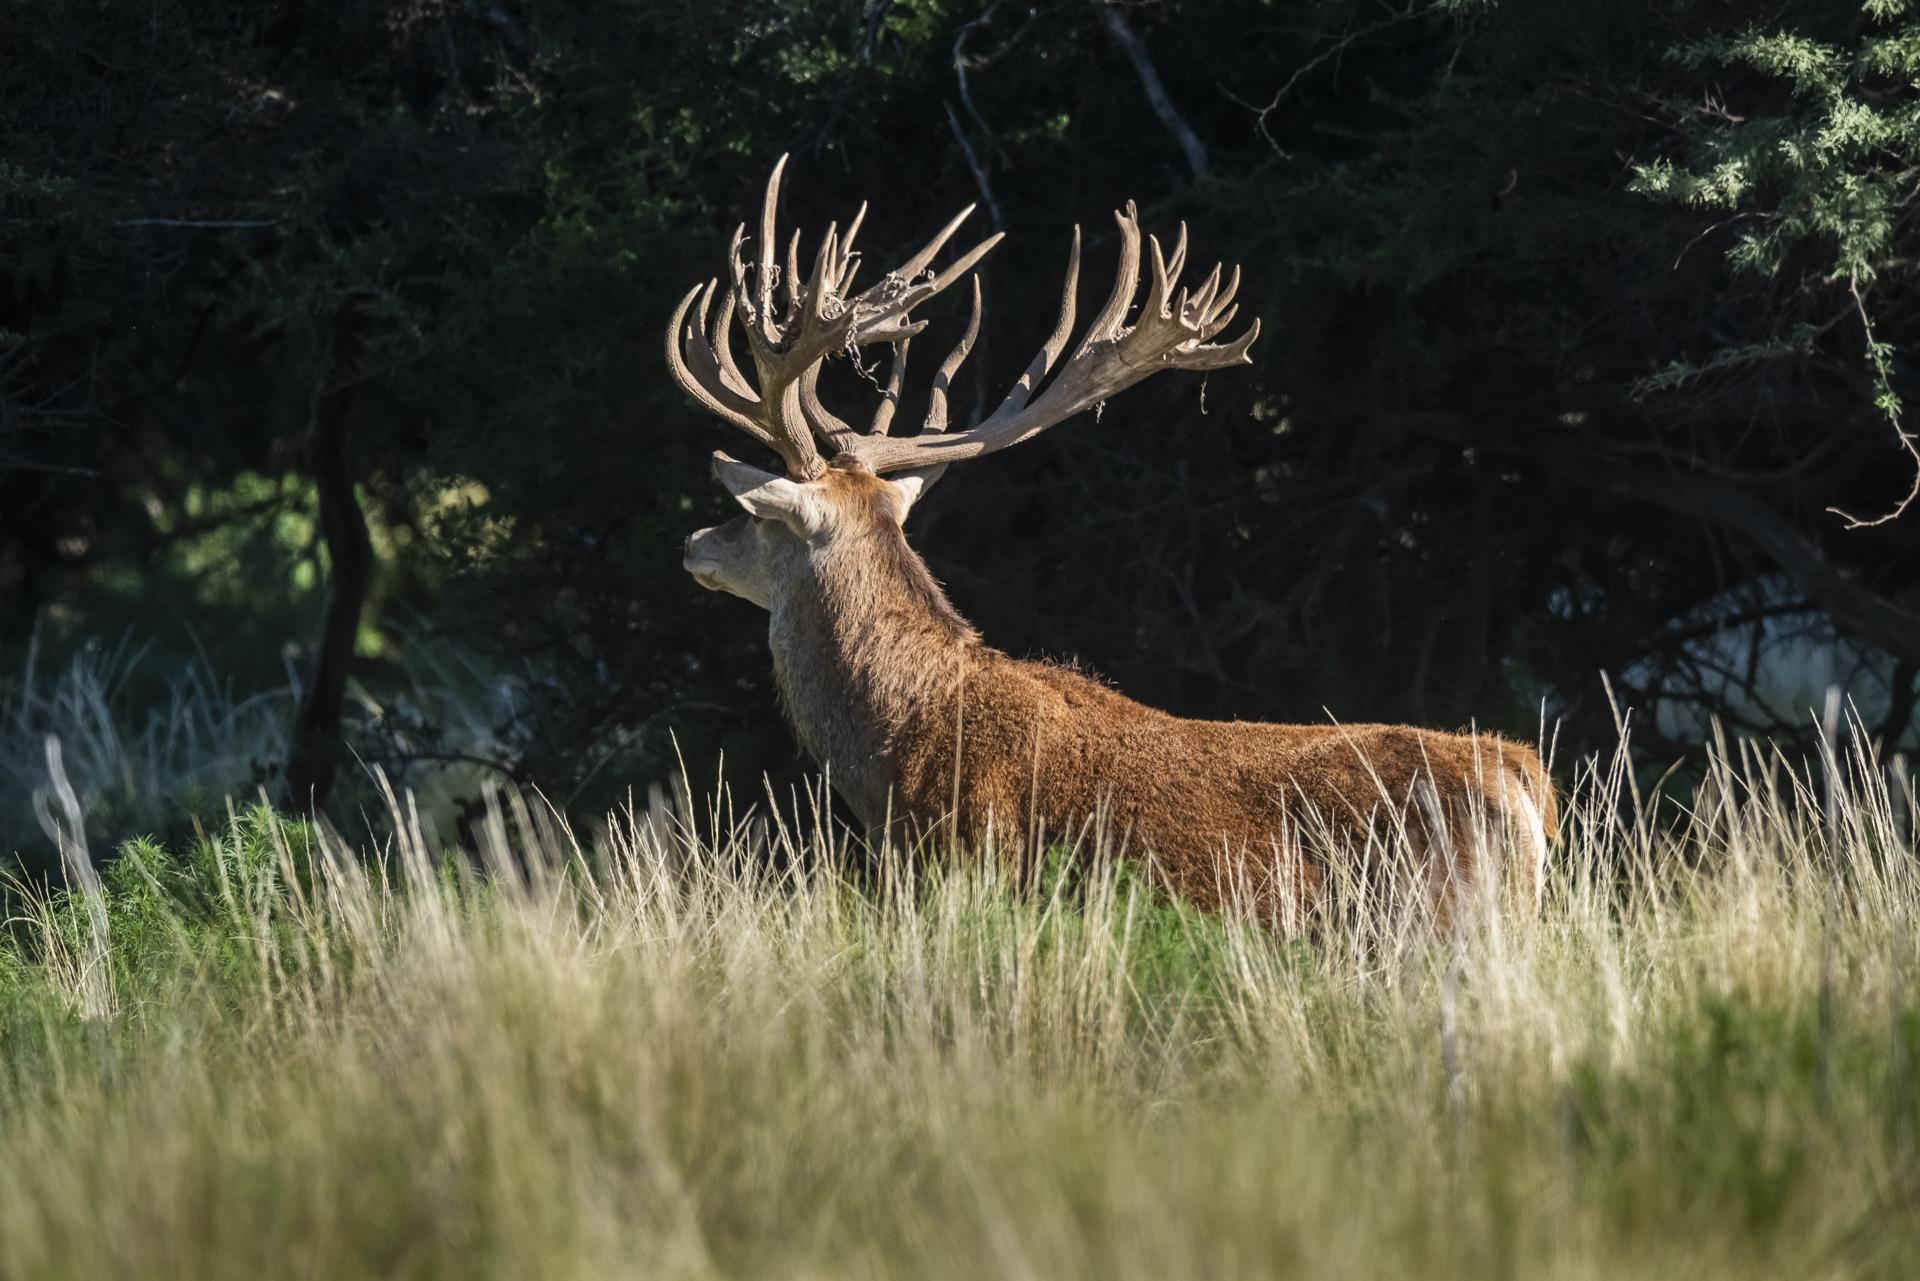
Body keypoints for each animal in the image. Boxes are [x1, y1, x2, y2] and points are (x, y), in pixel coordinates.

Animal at [671, 157, 1554, 924]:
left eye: (759, 514)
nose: (695, 541)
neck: (895, 747)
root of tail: (1524, 785)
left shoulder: (970, 872)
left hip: (1431, 922)